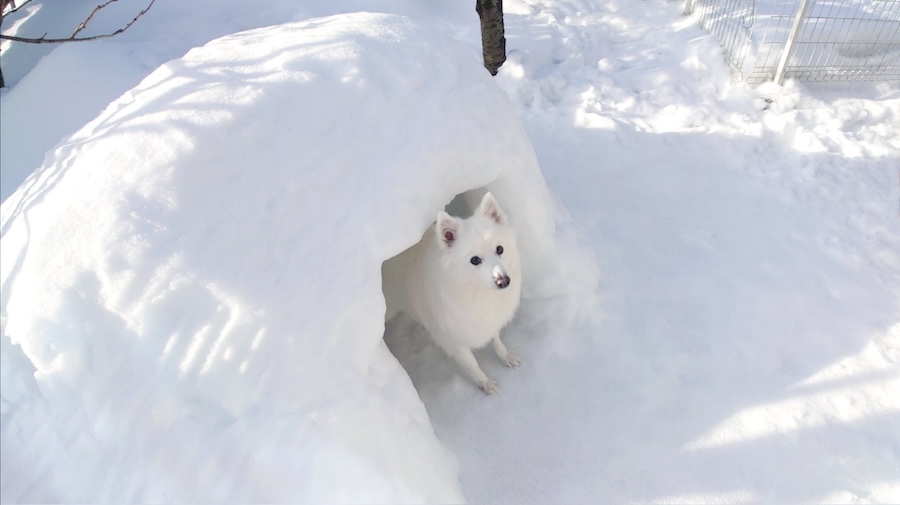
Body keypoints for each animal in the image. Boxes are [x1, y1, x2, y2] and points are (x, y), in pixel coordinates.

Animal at [384, 191, 524, 392]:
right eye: (475, 260)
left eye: (500, 249)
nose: (503, 281)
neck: (477, 293)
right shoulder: (453, 340)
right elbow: (472, 364)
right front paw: (485, 384)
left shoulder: (487, 321)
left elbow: (496, 340)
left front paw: (506, 356)